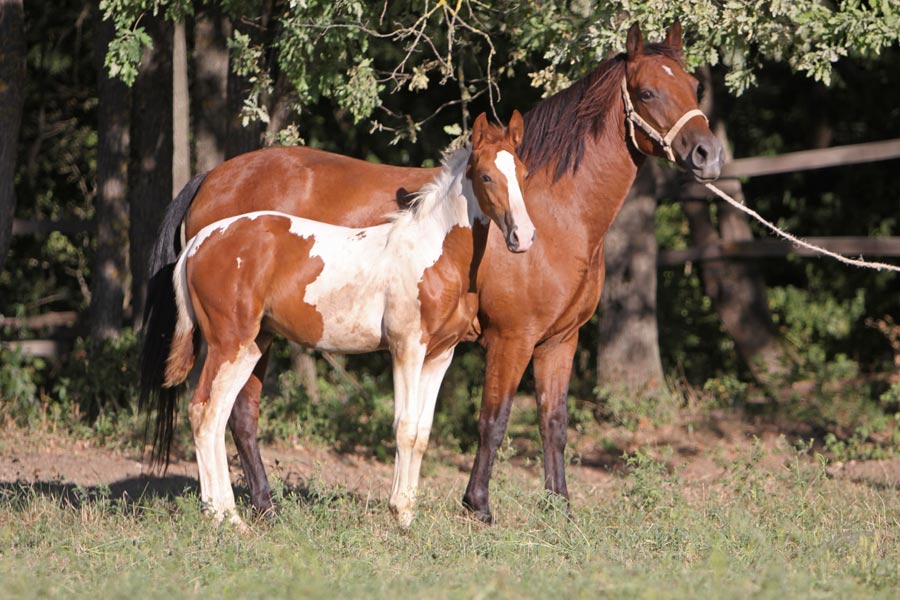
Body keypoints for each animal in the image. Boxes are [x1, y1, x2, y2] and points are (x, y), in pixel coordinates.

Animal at [161, 115, 532, 528]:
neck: (433, 252)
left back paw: (229, 516)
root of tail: (199, 243)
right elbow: (404, 428)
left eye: (523, 173)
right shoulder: (406, 348)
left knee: (219, 414)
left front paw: (409, 512)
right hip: (228, 343)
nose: (523, 237)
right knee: (203, 413)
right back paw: (223, 517)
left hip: (250, 346)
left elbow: (422, 432)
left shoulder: (440, 355)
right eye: (486, 176)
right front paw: (399, 513)